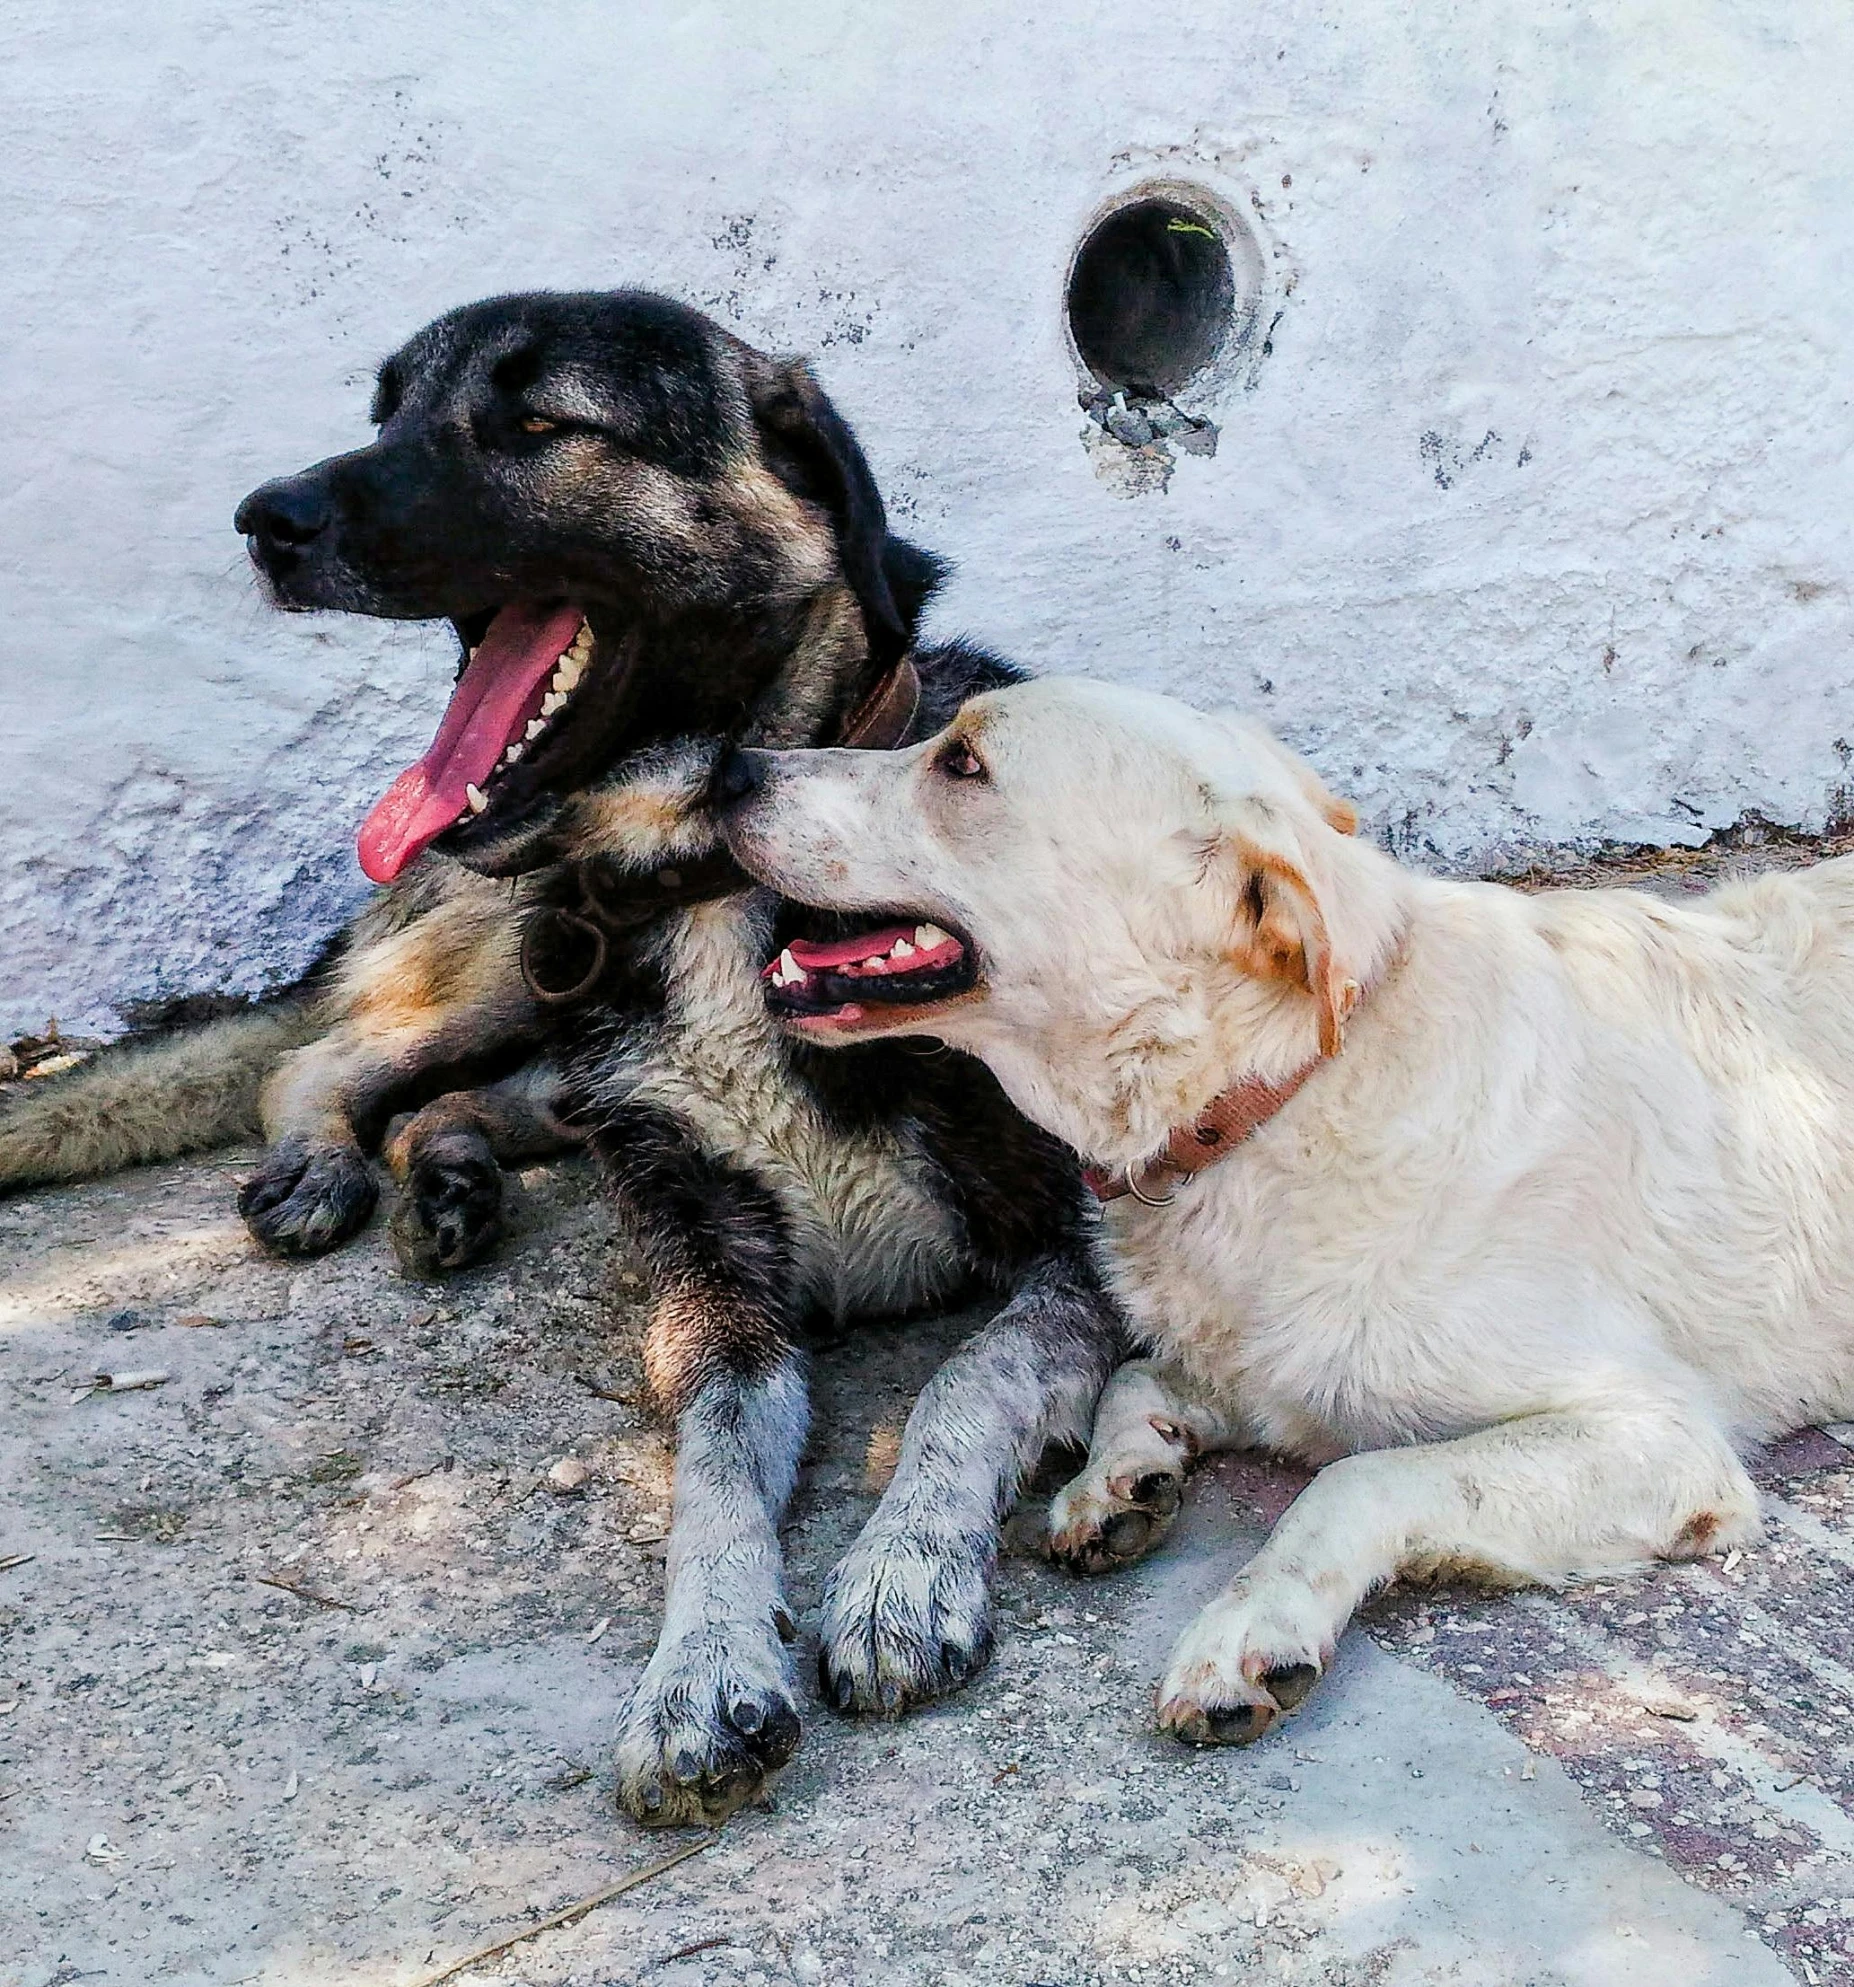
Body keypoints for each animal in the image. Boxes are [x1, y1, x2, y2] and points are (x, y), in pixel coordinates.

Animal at [7, 288, 1120, 1820]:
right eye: (386, 411)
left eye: (537, 422)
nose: (263, 517)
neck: (717, 875)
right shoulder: (711, 1288)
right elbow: (711, 1475)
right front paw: (699, 1669)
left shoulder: (1084, 1244)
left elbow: (971, 1377)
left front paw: (901, 1573)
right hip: (515, 962)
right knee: (320, 1061)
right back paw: (332, 1169)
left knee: (458, 1097)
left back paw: (449, 1179)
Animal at [715, 687, 1852, 1756]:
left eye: (962, 762)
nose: (730, 766)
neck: (1279, 1092)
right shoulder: (1266, 1361)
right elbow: (1141, 1374)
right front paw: (1124, 1477)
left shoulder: (1662, 1438)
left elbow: (1358, 1474)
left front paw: (1252, 1625)